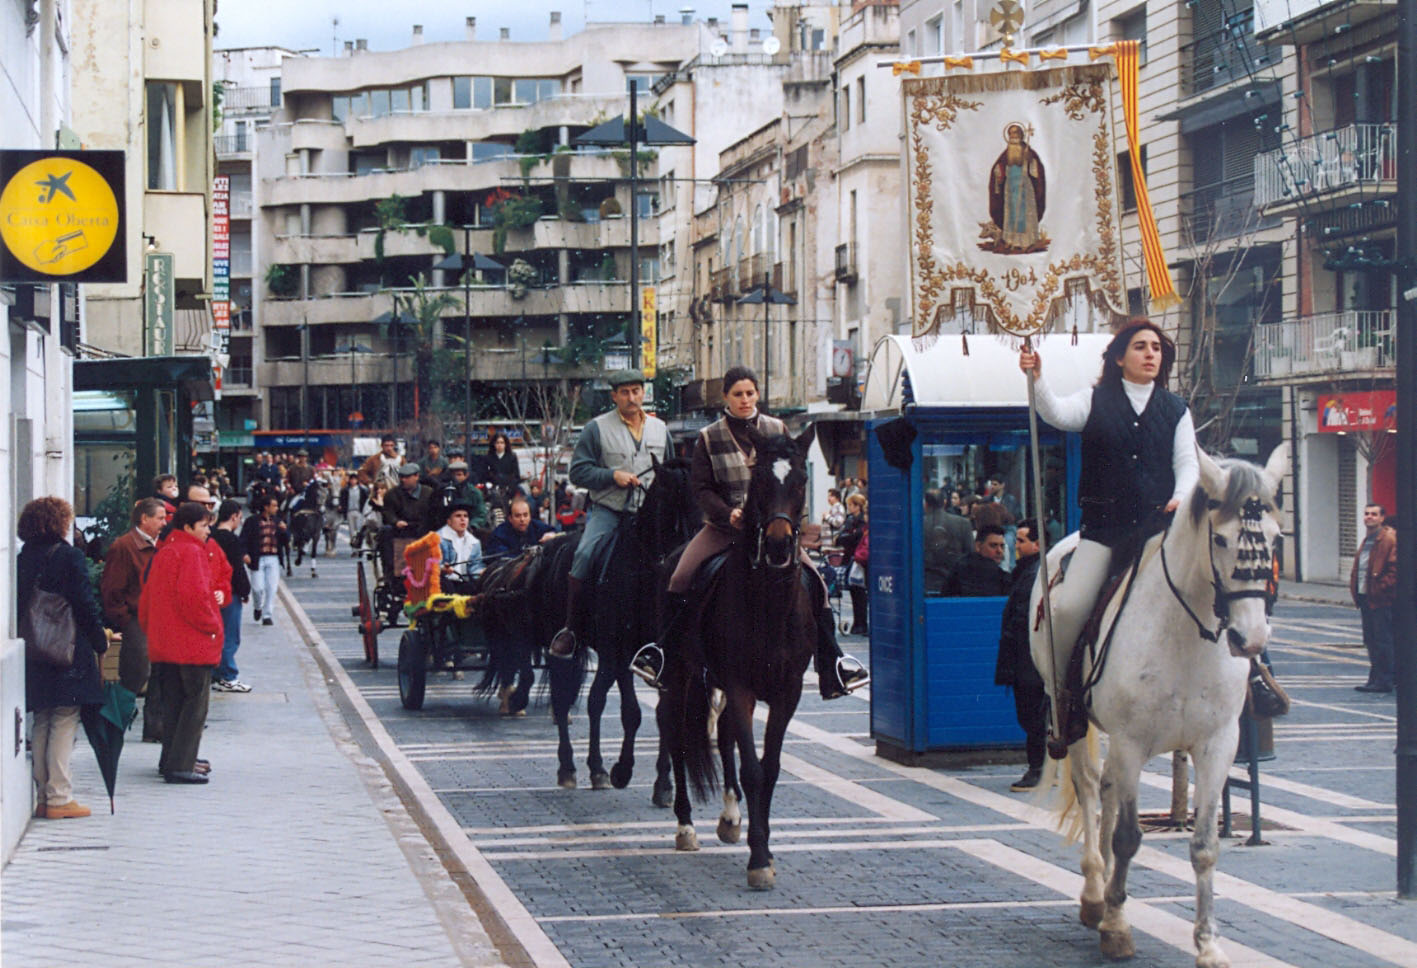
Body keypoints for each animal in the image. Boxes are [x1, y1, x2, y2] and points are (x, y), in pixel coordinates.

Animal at [535, 462, 697, 793]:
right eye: (670, 501)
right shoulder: (621, 652)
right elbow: (631, 712)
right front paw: (623, 769)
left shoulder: (664, 659)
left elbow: (664, 714)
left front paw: (663, 784)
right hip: (569, 649)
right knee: (563, 700)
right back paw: (568, 767)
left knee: (595, 700)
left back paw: (596, 768)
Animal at [663, 425, 821, 895]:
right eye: (761, 480)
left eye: (801, 482)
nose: (779, 545)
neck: (767, 603)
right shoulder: (740, 686)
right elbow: (752, 769)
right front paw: (758, 860)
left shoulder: (787, 692)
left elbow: (768, 768)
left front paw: (761, 846)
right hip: (678, 674)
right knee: (676, 738)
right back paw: (686, 826)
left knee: (725, 736)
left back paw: (730, 818)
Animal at [1031, 447, 1286, 968]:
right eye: (1221, 539)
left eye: (1275, 538)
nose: (1250, 639)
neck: (1186, 632)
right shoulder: (1132, 741)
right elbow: (1128, 837)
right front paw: (1116, 927)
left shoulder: (1217, 745)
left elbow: (1205, 845)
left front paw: (1208, 944)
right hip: (1076, 721)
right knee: (1091, 789)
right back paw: (1095, 893)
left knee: (1107, 791)